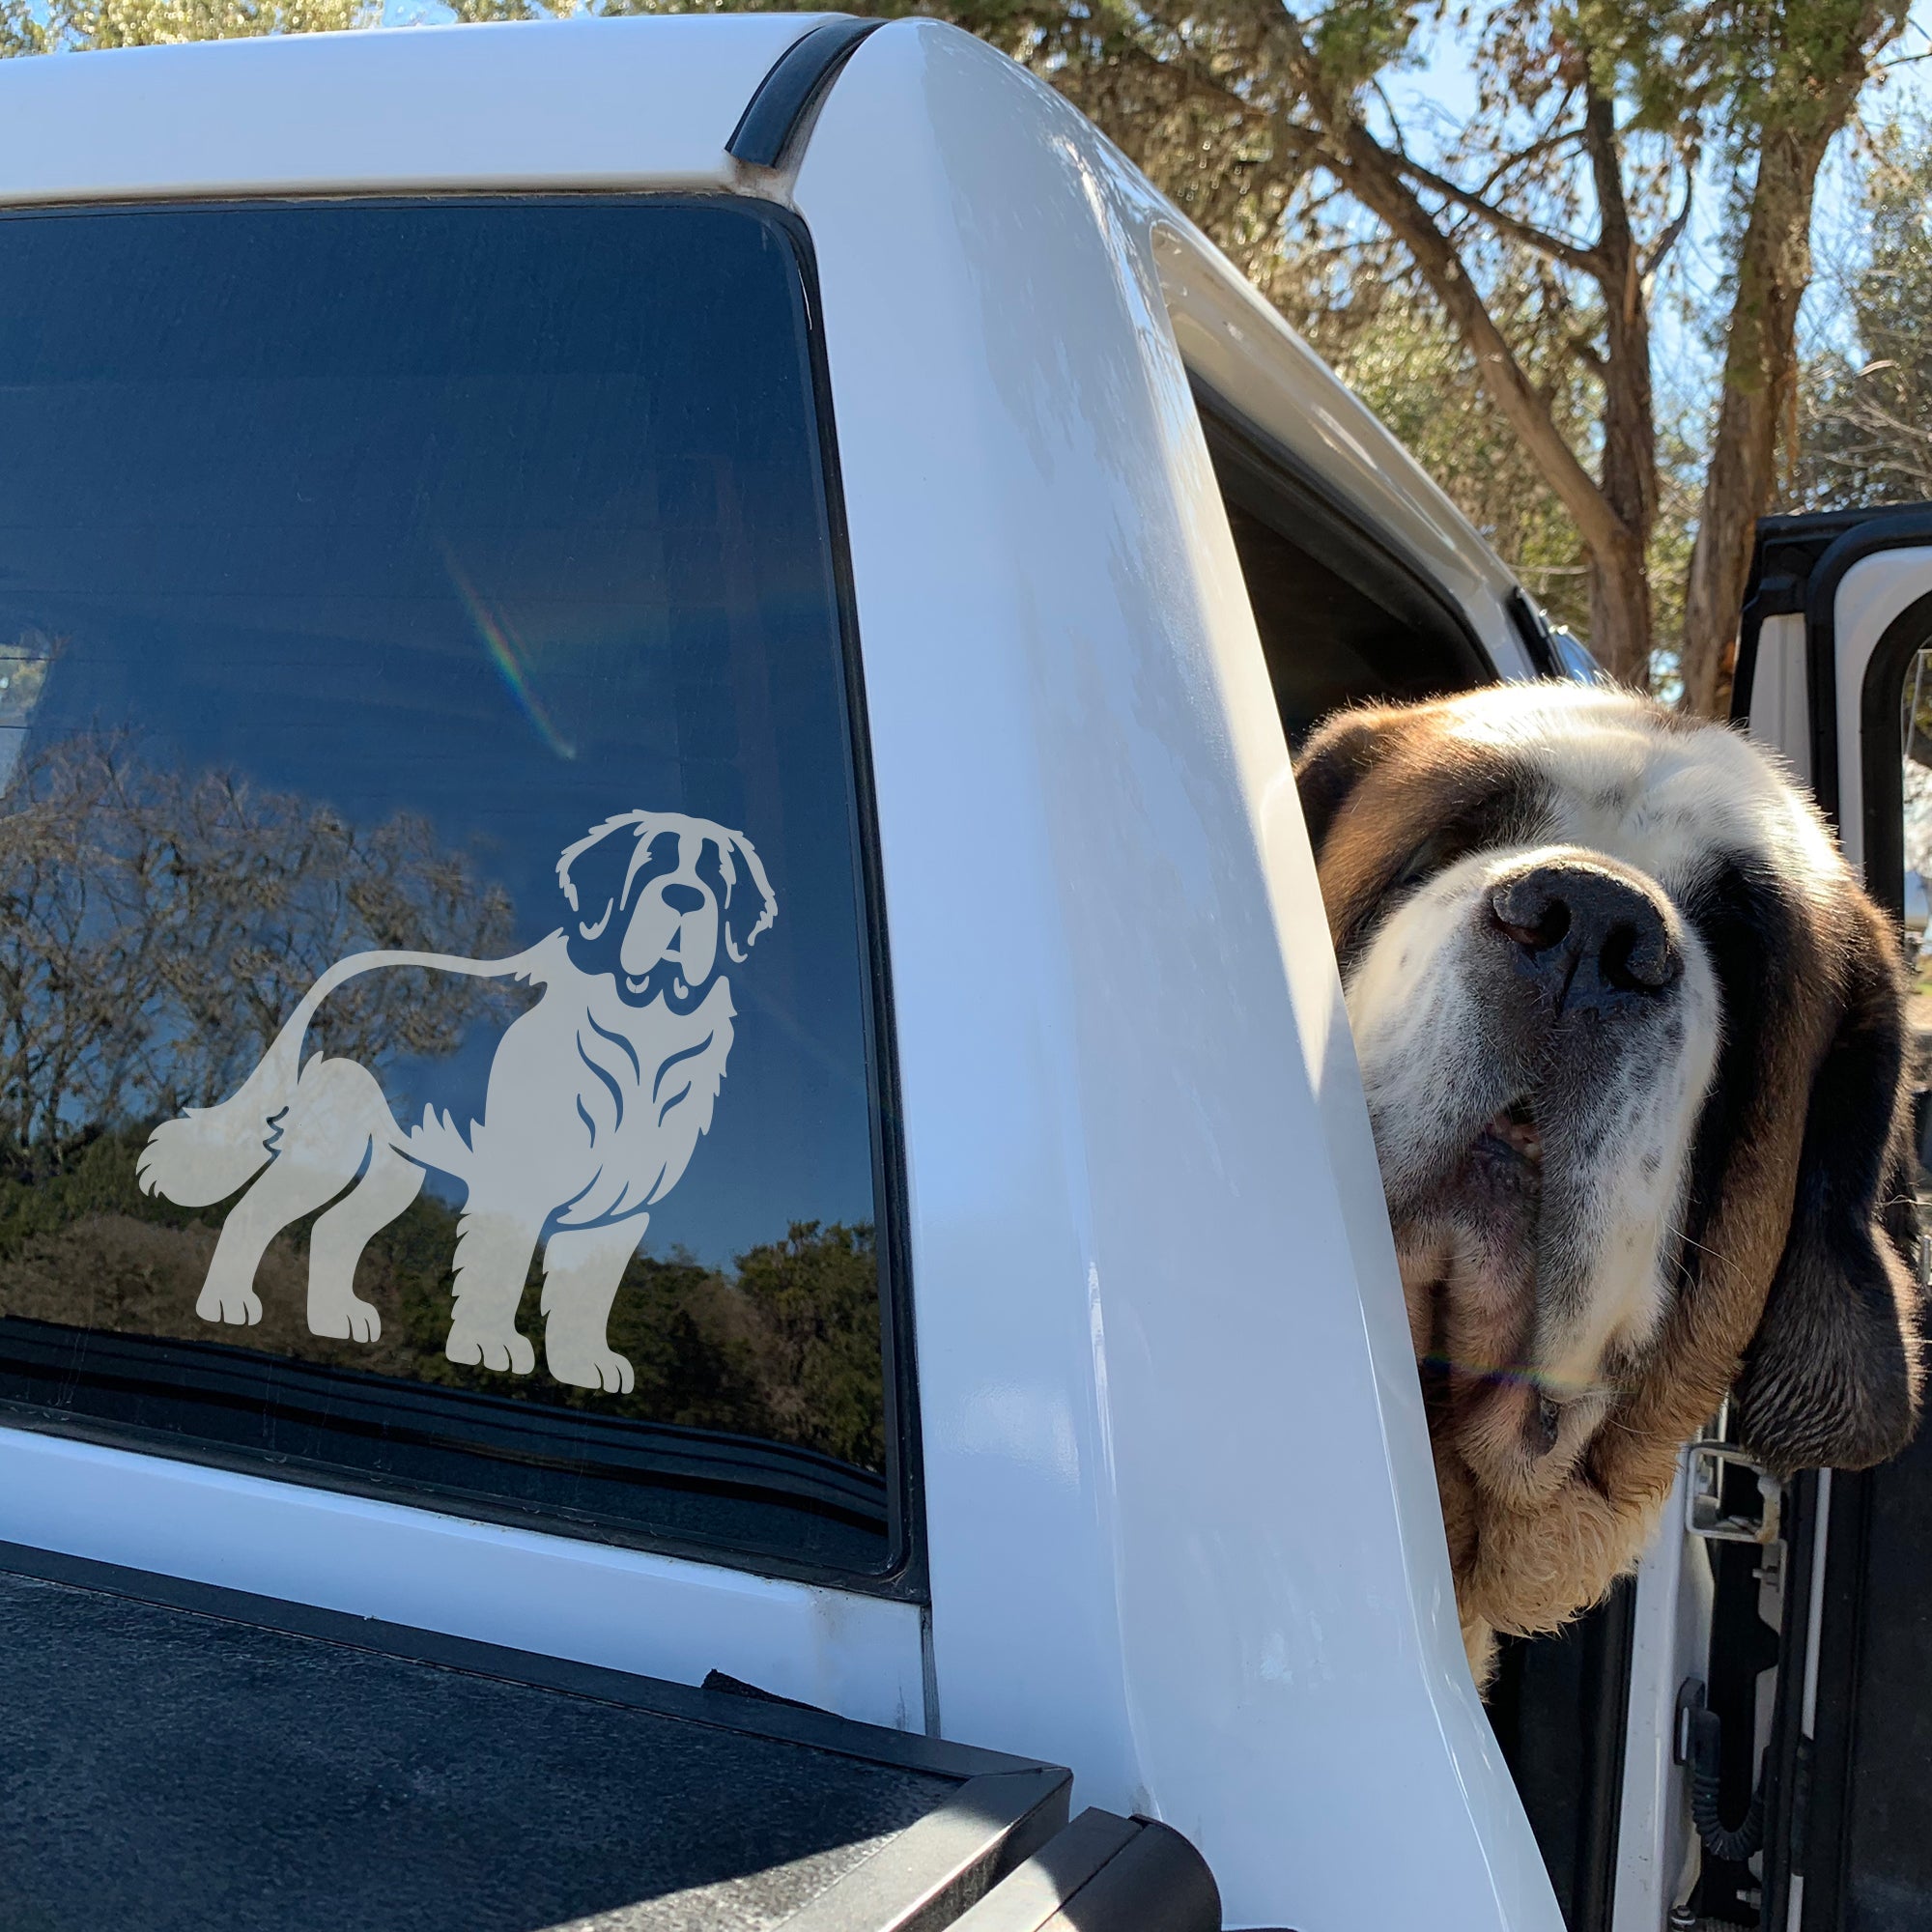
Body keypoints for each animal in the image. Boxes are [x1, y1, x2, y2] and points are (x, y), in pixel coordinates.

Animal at [136, 808, 773, 1399]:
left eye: (716, 880)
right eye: (649, 867)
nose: (685, 898)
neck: (642, 1027)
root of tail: (338, 974)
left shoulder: (622, 1209)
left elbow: (587, 1296)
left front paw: (584, 1364)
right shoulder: (515, 1189)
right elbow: (499, 1269)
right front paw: (491, 1346)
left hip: (396, 1170)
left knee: (333, 1229)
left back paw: (337, 1322)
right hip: (327, 1153)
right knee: (250, 1213)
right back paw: (226, 1304)